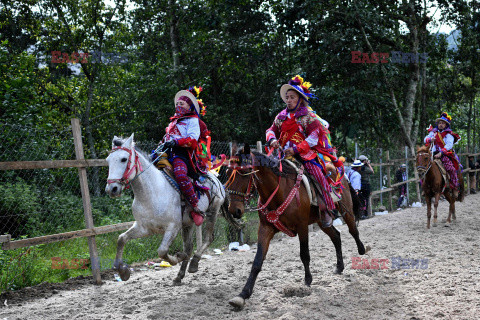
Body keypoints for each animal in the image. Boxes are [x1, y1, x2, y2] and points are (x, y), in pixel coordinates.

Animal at [106, 134, 226, 284]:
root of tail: (215, 179)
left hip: (212, 212)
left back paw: (194, 263)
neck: (152, 193)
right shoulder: (144, 228)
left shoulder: (172, 227)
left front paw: (177, 257)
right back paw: (179, 276)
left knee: (208, 239)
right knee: (189, 247)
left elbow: (162, 251)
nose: (112, 189)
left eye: (124, 159)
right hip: (188, 224)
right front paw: (122, 271)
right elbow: (121, 238)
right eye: (108, 160)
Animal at [225, 146, 364, 308]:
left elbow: (304, 254)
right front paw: (243, 294)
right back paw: (339, 267)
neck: (279, 191)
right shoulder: (265, 229)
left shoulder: (302, 226)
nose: (234, 210)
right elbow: (257, 262)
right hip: (322, 220)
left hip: (346, 210)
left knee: (353, 230)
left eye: (245, 172)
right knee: (336, 236)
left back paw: (362, 249)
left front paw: (307, 281)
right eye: (228, 172)